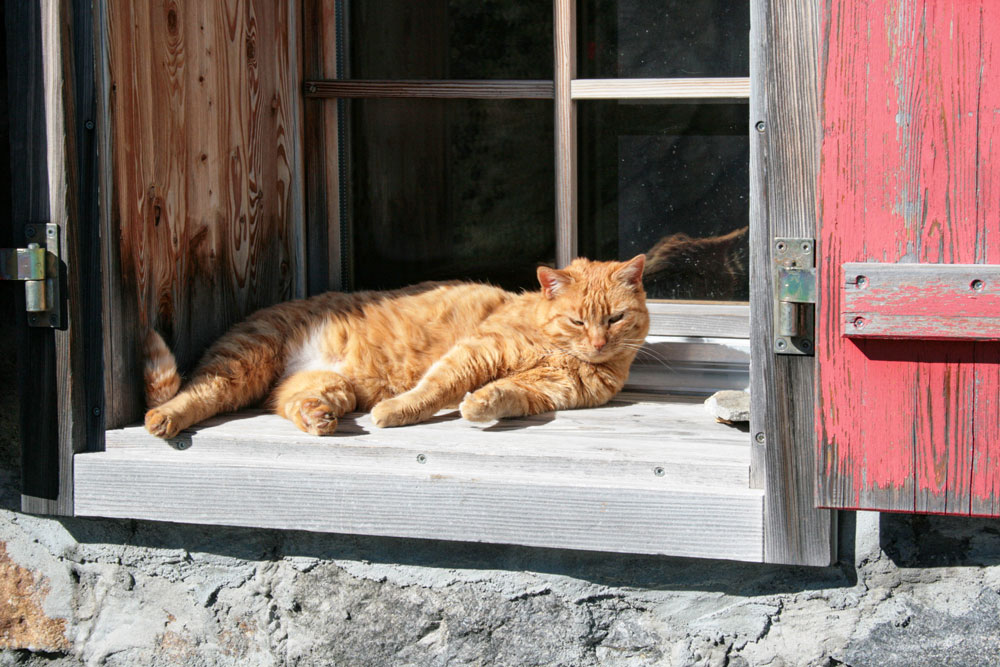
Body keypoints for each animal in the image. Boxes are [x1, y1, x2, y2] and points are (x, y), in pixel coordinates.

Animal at [145, 256, 652, 438]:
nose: (599, 341)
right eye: (578, 320)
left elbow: (504, 394)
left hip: (328, 386)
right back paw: (163, 419)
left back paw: (318, 420)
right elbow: (433, 389)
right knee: (195, 393)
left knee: (287, 403)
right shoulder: (478, 351)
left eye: (615, 319)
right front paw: (394, 412)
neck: (558, 351)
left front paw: (479, 406)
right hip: (242, 362)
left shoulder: (542, 392)